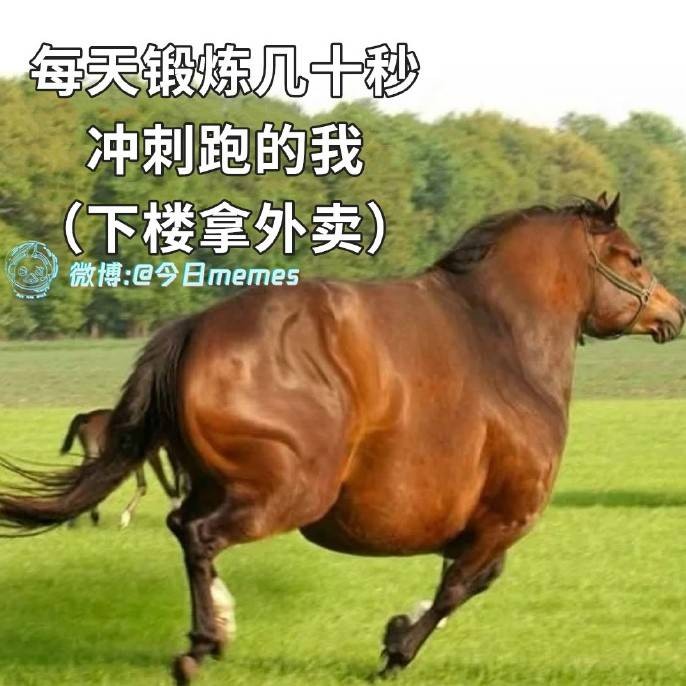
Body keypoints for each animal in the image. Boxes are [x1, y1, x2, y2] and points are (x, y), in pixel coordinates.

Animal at [0, 193, 682, 685]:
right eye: (632, 256)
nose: (673, 313)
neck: (502, 339)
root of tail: (192, 329)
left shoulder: (487, 522)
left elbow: (465, 580)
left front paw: (398, 631)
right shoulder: (504, 515)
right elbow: (463, 585)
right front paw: (396, 646)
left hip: (228, 481)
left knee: (183, 527)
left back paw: (216, 627)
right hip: (288, 492)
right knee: (201, 536)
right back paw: (203, 644)